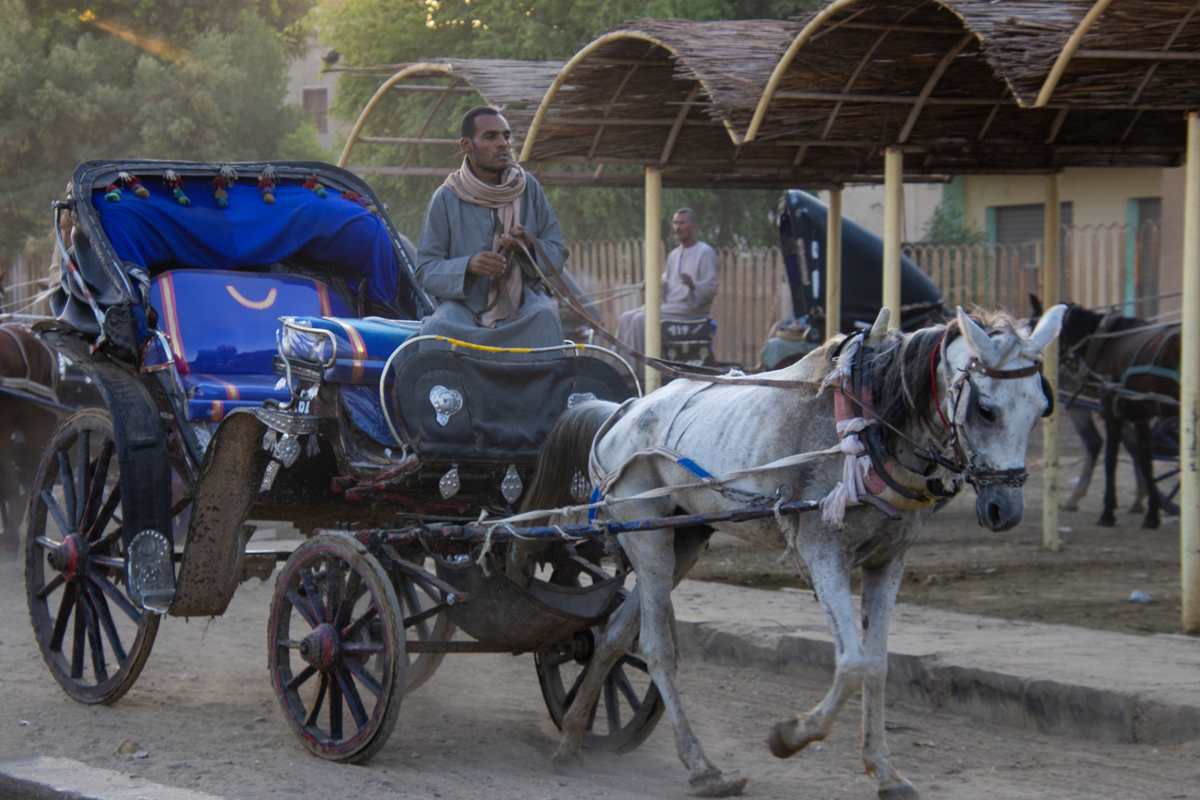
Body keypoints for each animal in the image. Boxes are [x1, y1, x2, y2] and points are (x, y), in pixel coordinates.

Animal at [523, 304, 1065, 799]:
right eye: (986, 409)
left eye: (1043, 406)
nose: (1005, 509)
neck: (870, 425)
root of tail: (621, 412)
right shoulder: (822, 552)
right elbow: (852, 664)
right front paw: (791, 736)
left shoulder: (889, 562)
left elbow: (878, 665)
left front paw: (885, 771)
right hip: (649, 539)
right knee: (655, 648)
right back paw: (702, 769)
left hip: (685, 539)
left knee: (615, 634)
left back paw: (572, 737)